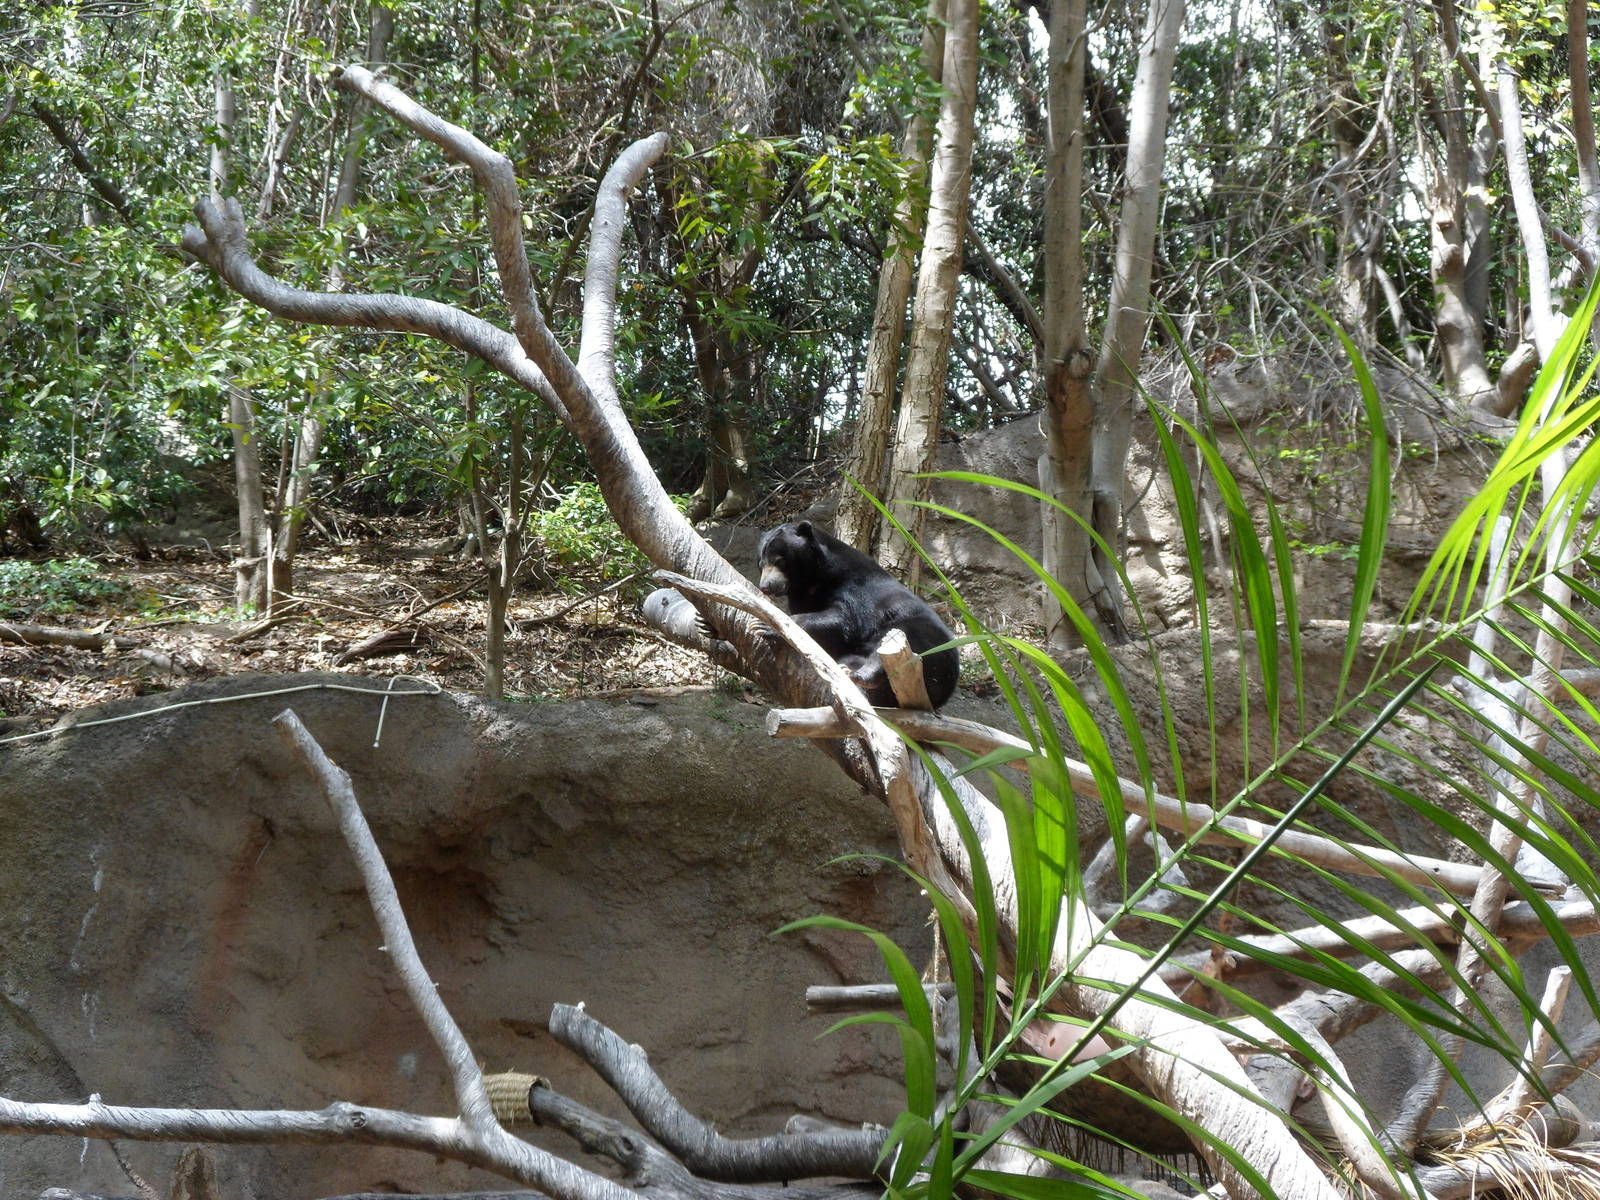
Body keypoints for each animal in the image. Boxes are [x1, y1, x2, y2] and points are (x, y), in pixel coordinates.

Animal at [756, 519, 960, 708]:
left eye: (779, 561)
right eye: (761, 564)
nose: (766, 586)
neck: (810, 580)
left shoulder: (853, 588)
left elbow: (843, 621)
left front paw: (766, 626)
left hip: (923, 635)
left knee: (897, 643)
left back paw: (861, 675)